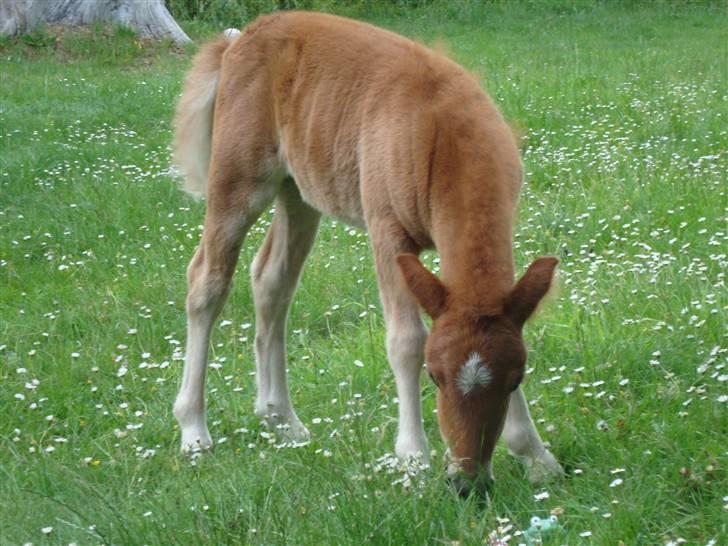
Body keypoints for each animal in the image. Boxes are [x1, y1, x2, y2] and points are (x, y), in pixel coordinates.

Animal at [171, 10, 564, 492]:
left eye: (515, 380)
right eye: (434, 376)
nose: (467, 482)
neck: (443, 129)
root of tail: (240, 38)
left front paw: (534, 454)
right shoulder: (386, 231)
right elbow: (406, 340)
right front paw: (413, 458)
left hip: (297, 193)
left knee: (271, 281)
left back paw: (281, 420)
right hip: (238, 180)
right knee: (207, 282)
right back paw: (193, 430)